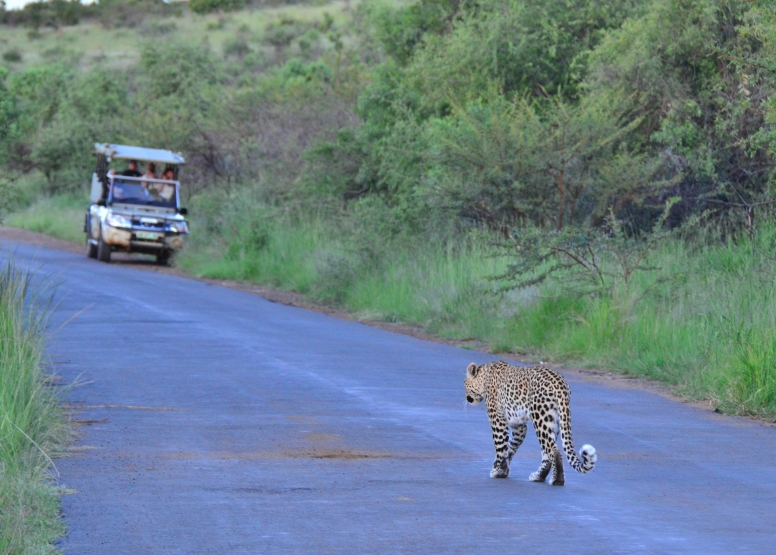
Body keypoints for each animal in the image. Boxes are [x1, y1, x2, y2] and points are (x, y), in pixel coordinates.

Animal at [464, 360, 596, 486]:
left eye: (464, 383)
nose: (466, 397)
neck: (484, 377)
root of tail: (560, 384)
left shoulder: (497, 419)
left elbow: (500, 445)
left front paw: (497, 471)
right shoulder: (519, 425)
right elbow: (511, 446)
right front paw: (503, 469)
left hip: (541, 418)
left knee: (554, 450)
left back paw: (557, 480)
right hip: (553, 421)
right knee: (547, 452)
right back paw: (539, 476)